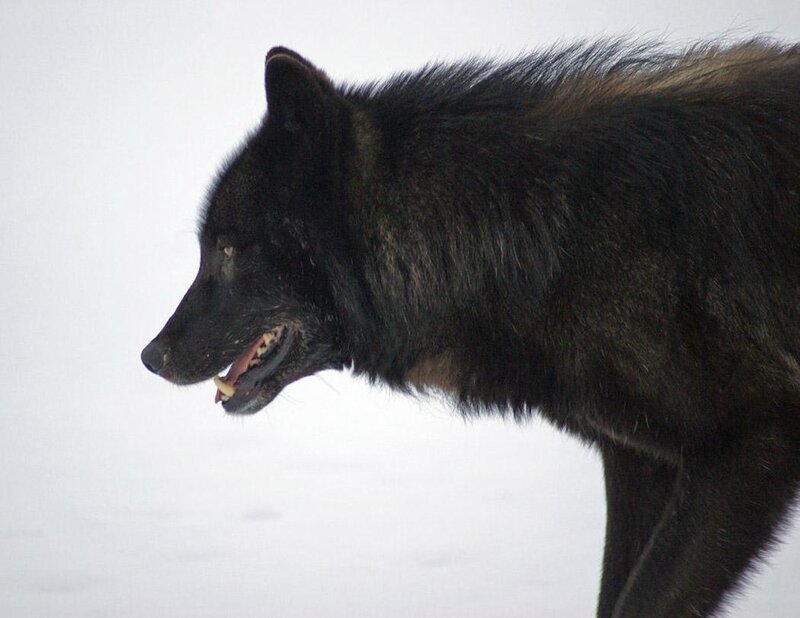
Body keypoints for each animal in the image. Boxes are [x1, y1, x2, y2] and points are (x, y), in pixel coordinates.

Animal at [142, 39, 800, 616]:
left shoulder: (749, 445)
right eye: (208, 248)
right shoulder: (641, 461)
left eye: (228, 250)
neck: (541, 236)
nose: (150, 356)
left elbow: (644, 601)